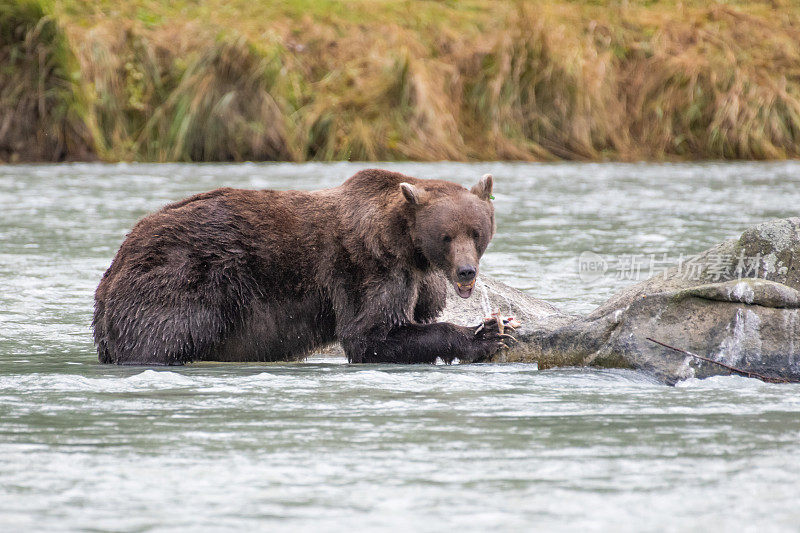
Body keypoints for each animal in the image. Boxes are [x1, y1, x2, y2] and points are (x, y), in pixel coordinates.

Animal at [90, 168, 510, 364]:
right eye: (446, 236)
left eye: (476, 232)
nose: (466, 271)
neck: (407, 246)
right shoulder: (367, 267)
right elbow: (371, 334)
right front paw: (486, 333)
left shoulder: (419, 278)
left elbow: (420, 311)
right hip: (185, 279)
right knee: (163, 336)